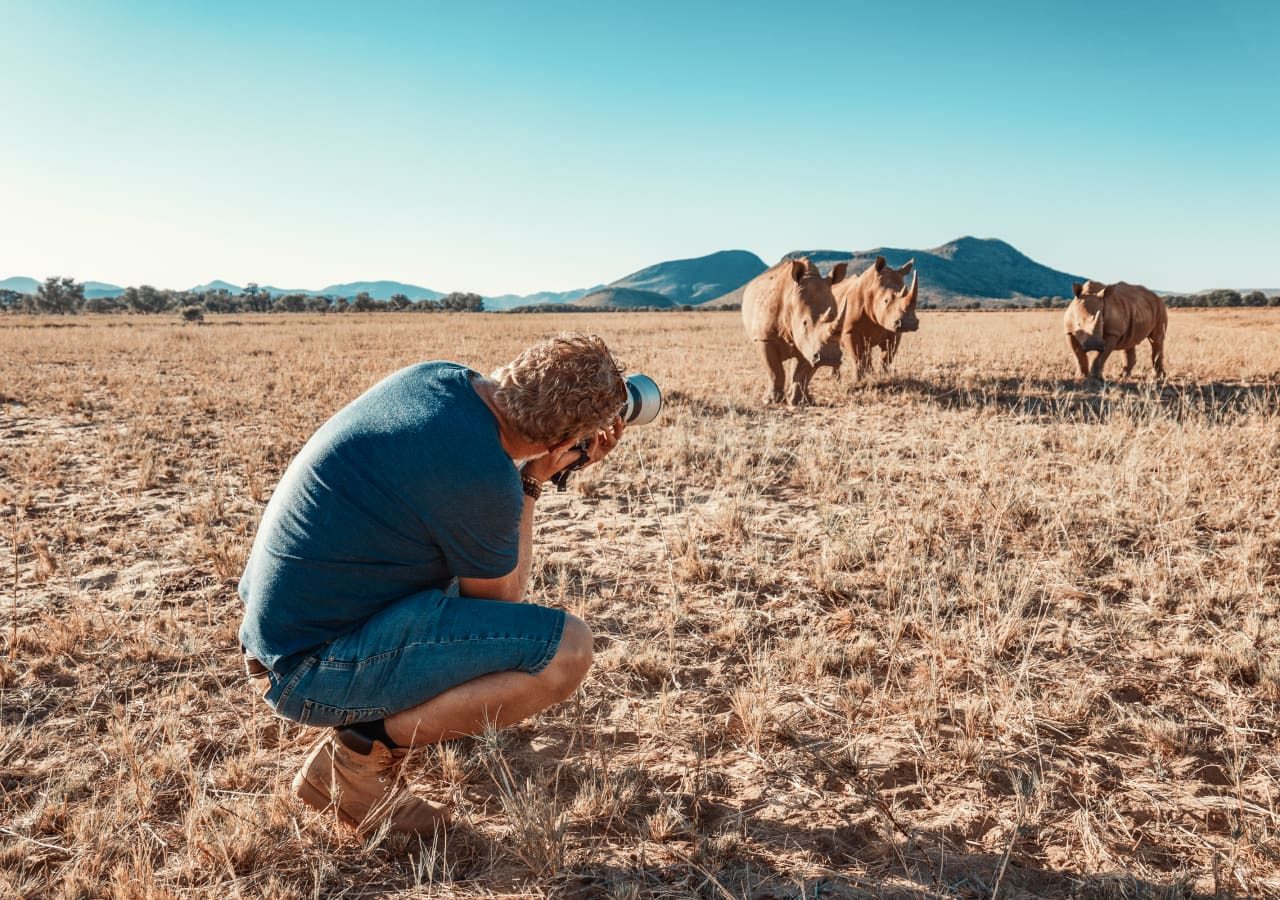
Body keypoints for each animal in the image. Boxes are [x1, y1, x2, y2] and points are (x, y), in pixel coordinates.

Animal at [747, 257, 844, 404]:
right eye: (804, 322)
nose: (830, 358)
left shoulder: (810, 346)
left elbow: (802, 373)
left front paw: (799, 402)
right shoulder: (764, 338)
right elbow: (775, 371)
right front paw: (771, 401)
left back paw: (807, 398)